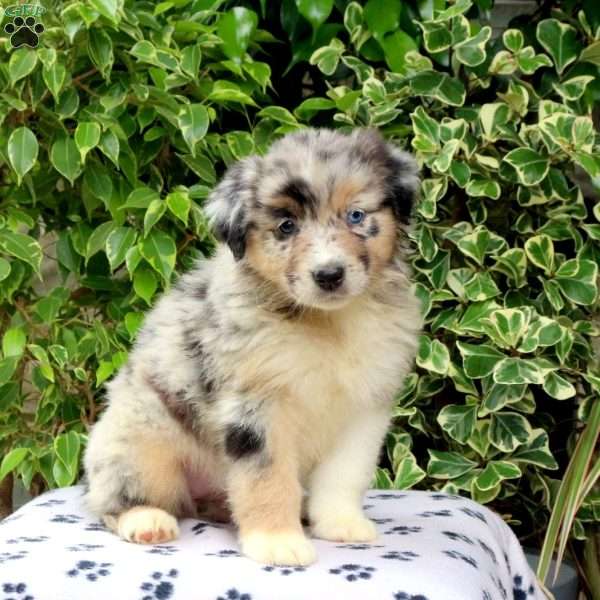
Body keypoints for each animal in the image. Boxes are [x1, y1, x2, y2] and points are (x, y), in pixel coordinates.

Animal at [83, 127, 422, 568]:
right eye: (286, 226)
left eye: (356, 216)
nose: (329, 274)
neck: (326, 324)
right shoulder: (257, 405)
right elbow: (267, 476)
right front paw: (277, 542)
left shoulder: (364, 407)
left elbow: (345, 474)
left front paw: (341, 524)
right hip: (139, 444)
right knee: (112, 500)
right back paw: (146, 520)